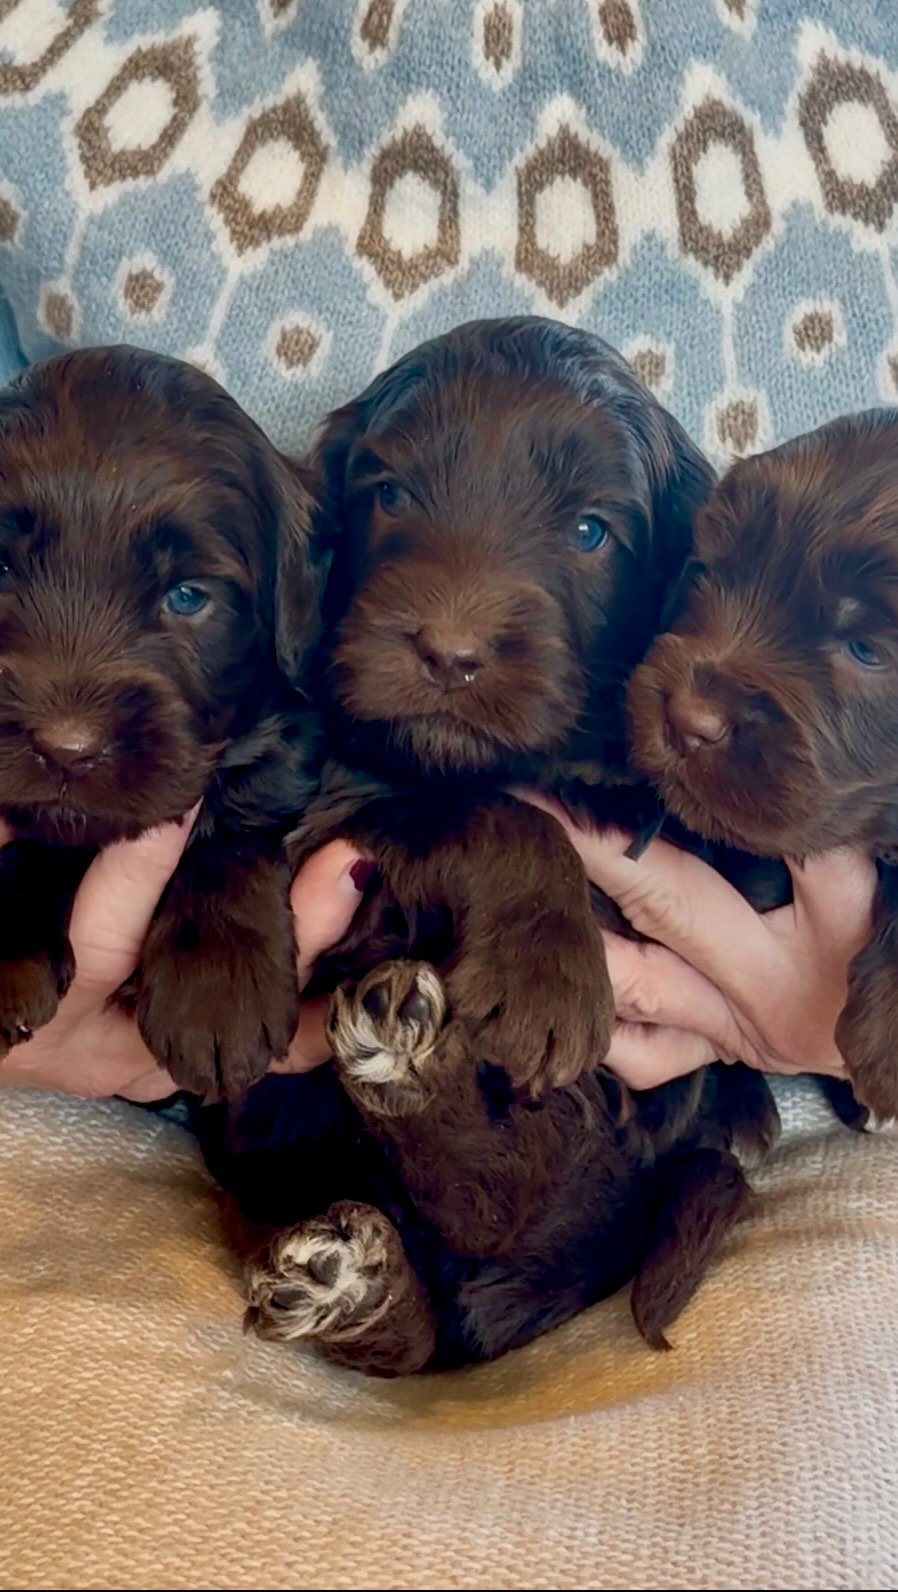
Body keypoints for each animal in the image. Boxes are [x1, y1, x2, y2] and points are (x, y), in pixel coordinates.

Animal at [232, 317, 782, 1376]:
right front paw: (546, 970)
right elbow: (494, 810)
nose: (449, 654)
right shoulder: (334, 799)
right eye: (390, 495)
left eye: (590, 532)